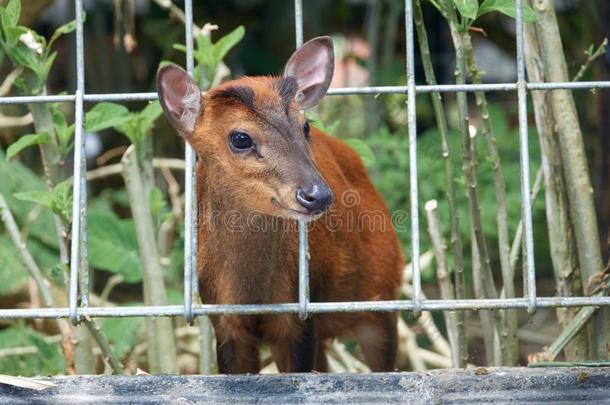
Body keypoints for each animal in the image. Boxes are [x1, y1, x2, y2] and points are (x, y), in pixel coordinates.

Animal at [157, 35, 404, 372]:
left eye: (305, 126)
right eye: (241, 138)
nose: (318, 195)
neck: (254, 293)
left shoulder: (301, 315)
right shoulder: (224, 320)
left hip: (382, 292)